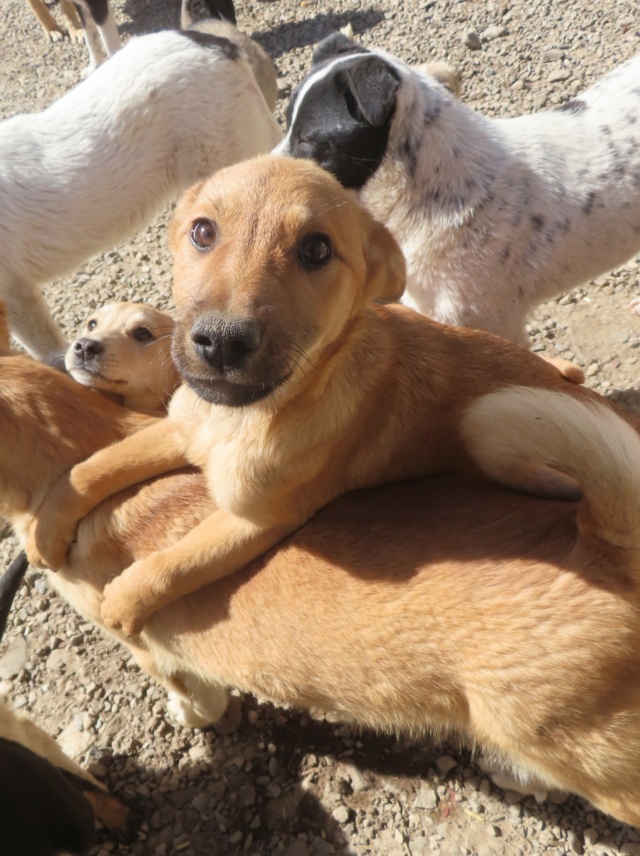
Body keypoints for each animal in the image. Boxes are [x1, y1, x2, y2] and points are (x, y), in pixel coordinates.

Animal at [26, 154, 632, 636]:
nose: (221, 342)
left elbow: (174, 562)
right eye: (202, 232)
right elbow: (93, 468)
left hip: (504, 445)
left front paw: (123, 604)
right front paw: (46, 529)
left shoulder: (259, 518)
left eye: (316, 249)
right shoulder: (178, 428)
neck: (244, 417)